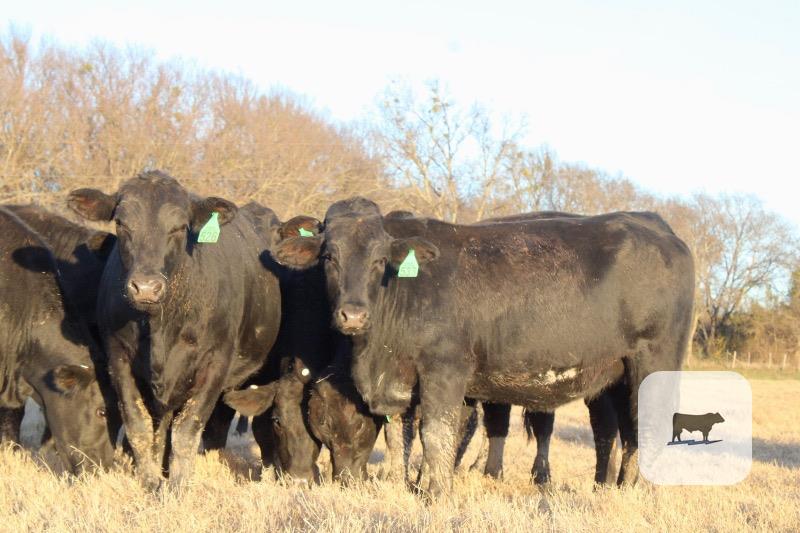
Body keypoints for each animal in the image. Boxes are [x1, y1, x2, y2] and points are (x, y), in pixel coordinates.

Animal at [67, 171, 282, 490]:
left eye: (180, 227)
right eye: (121, 223)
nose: (145, 287)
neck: (160, 328)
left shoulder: (216, 363)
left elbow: (186, 431)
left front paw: (178, 486)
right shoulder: (118, 358)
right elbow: (139, 427)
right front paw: (149, 482)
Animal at [270, 197, 695, 497]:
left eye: (378, 260)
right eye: (329, 257)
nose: (353, 315)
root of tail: (658, 228)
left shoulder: (445, 370)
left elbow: (437, 433)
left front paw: (436, 492)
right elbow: (402, 436)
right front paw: (401, 482)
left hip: (653, 362)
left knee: (648, 424)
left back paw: (639, 491)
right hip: (619, 376)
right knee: (626, 429)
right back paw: (618, 486)